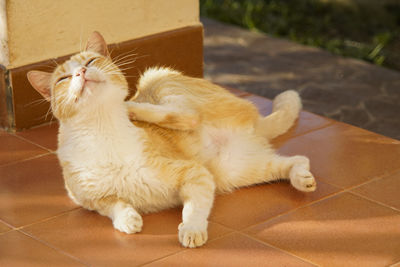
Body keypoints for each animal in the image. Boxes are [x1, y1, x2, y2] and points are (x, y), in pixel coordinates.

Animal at [26, 31, 318, 249]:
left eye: (90, 62)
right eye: (64, 78)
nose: (80, 74)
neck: (103, 131)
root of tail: (255, 124)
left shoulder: (195, 174)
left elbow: (194, 210)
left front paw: (191, 229)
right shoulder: (89, 199)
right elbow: (113, 205)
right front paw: (128, 219)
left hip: (159, 80)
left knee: (188, 116)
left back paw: (133, 107)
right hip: (239, 170)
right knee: (297, 159)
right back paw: (302, 179)